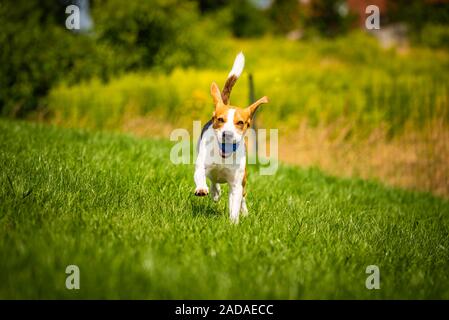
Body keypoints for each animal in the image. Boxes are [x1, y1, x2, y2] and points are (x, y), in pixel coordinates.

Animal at [194, 52, 268, 222]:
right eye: (220, 119)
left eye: (240, 122)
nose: (227, 133)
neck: (224, 154)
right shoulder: (202, 165)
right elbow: (200, 174)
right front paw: (201, 189)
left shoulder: (236, 183)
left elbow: (236, 201)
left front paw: (234, 222)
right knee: (214, 180)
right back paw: (214, 192)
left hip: (244, 179)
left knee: (243, 197)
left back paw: (244, 211)